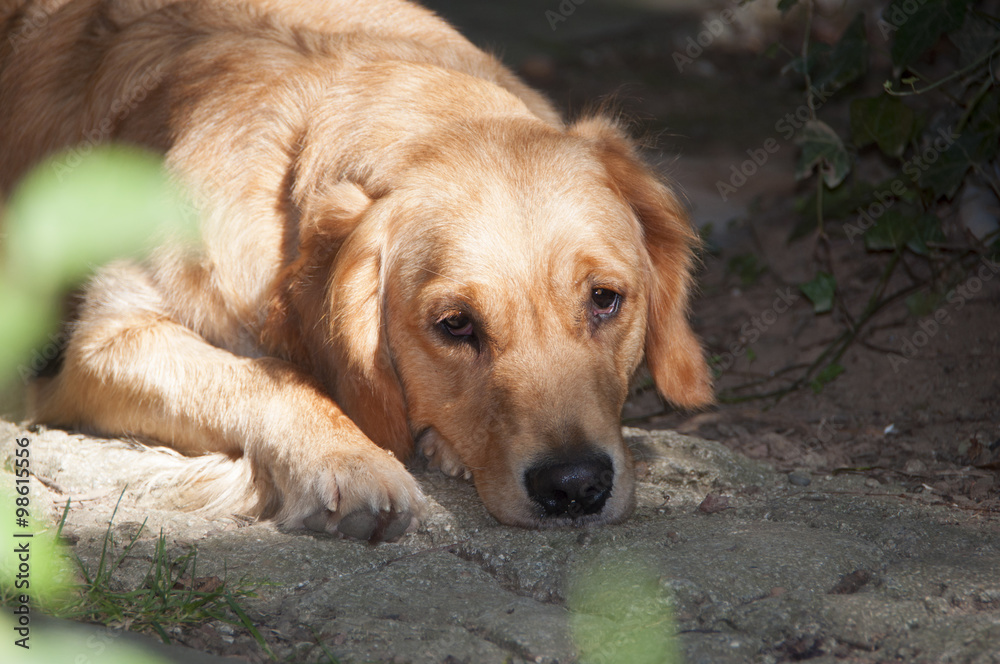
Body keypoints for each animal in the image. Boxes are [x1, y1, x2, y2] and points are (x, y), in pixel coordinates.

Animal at [0, 0, 712, 544]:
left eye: (605, 299)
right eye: (455, 325)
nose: (574, 487)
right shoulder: (101, 340)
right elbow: (271, 376)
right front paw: (351, 460)